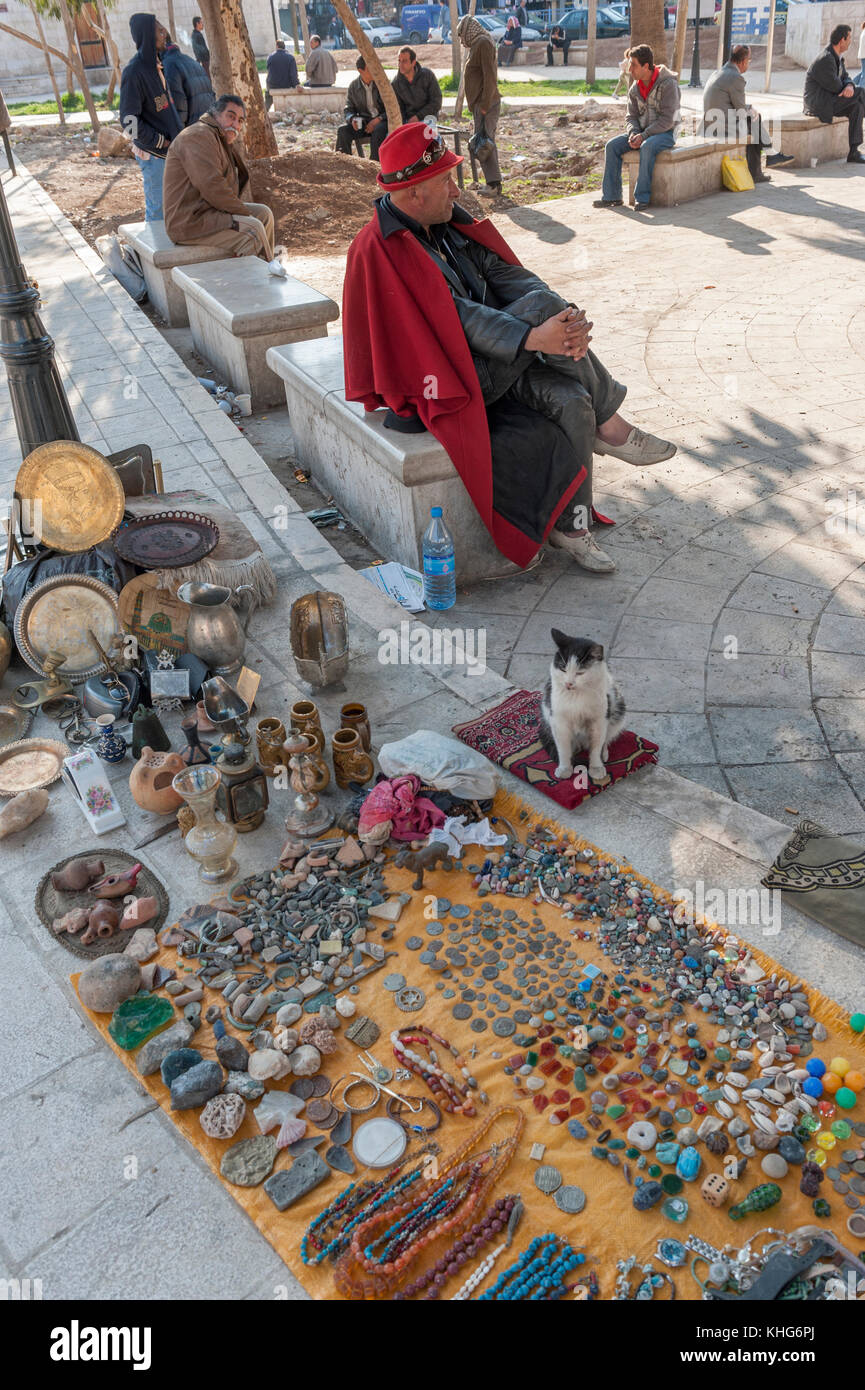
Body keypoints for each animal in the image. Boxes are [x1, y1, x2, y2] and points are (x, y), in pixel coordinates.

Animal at [539, 631, 625, 783]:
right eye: (563, 668)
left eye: (580, 672)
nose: (568, 684)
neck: (576, 696)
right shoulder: (558, 721)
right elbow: (563, 748)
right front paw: (565, 768)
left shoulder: (600, 720)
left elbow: (596, 746)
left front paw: (596, 767)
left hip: (617, 711)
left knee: (607, 738)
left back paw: (604, 754)